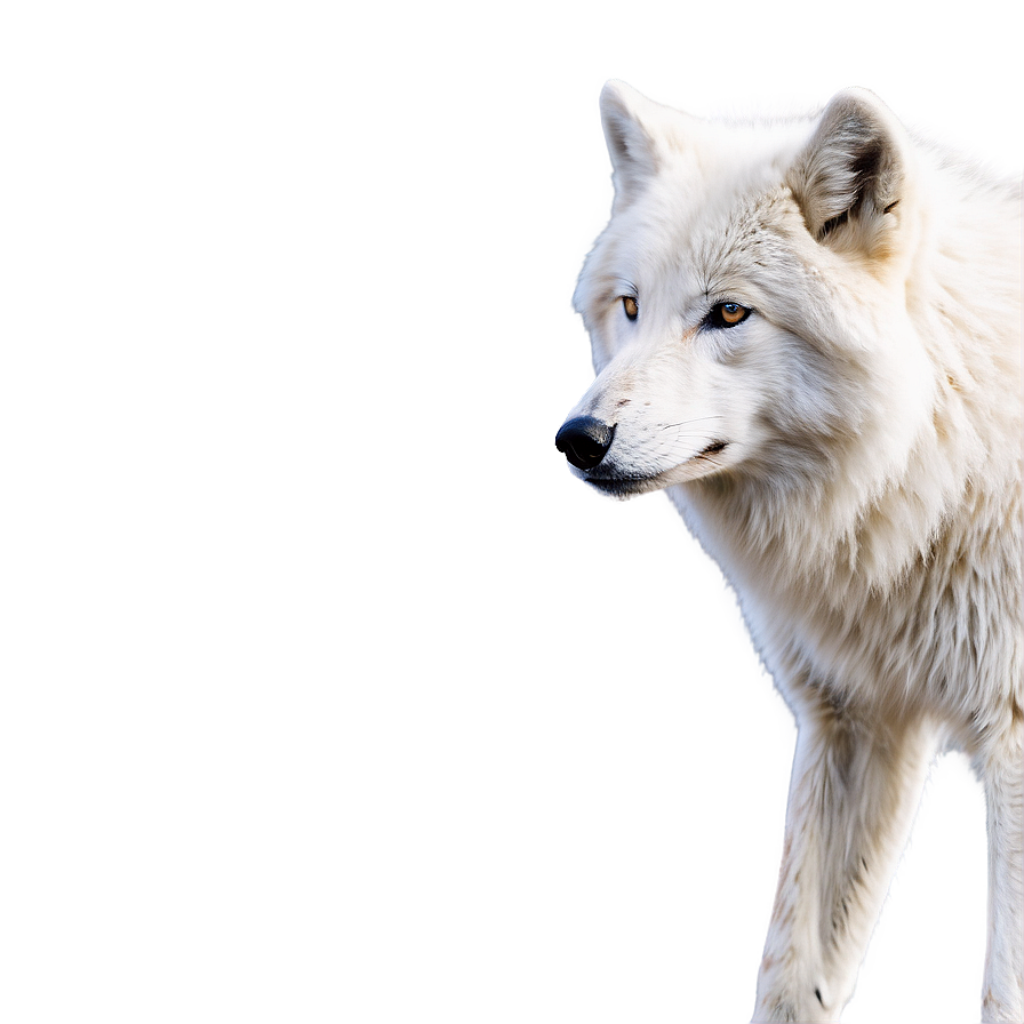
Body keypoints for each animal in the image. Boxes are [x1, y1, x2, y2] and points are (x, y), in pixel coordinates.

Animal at [555, 79, 1023, 1021]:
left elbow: (1005, 984)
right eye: (630, 305)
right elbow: (793, 972)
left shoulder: (1015, 740)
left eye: (729, 312)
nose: (580, 439)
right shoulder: (849, 721)